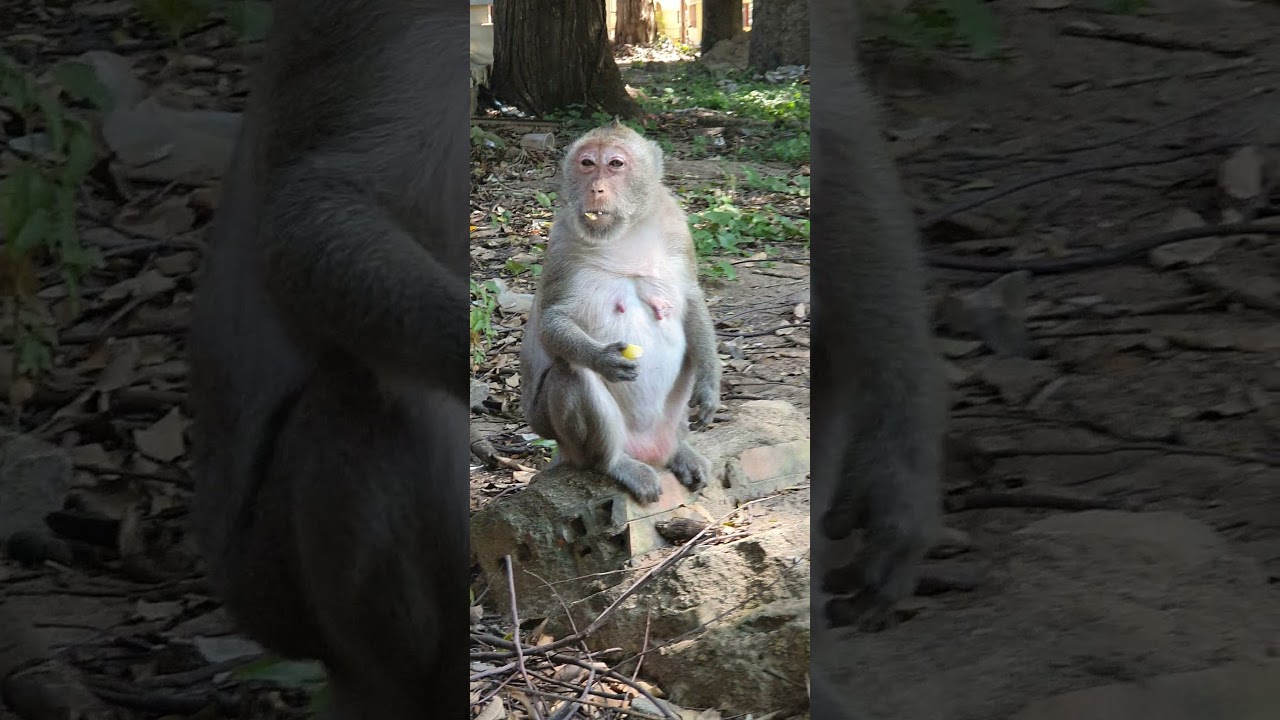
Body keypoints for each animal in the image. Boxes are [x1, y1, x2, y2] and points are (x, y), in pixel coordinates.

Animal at [519, 120, 722, 505]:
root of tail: (651, 449)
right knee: (570, 375)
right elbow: (552, 322)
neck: (627, 233)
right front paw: (602, 358)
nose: (596, 188)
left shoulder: (677, 229)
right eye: (587, 164)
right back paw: (615, 464)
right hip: (574, 444)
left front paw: (710, 385)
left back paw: (681, 451)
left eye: (615, 164)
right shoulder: (562, 244)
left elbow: (691, 300)